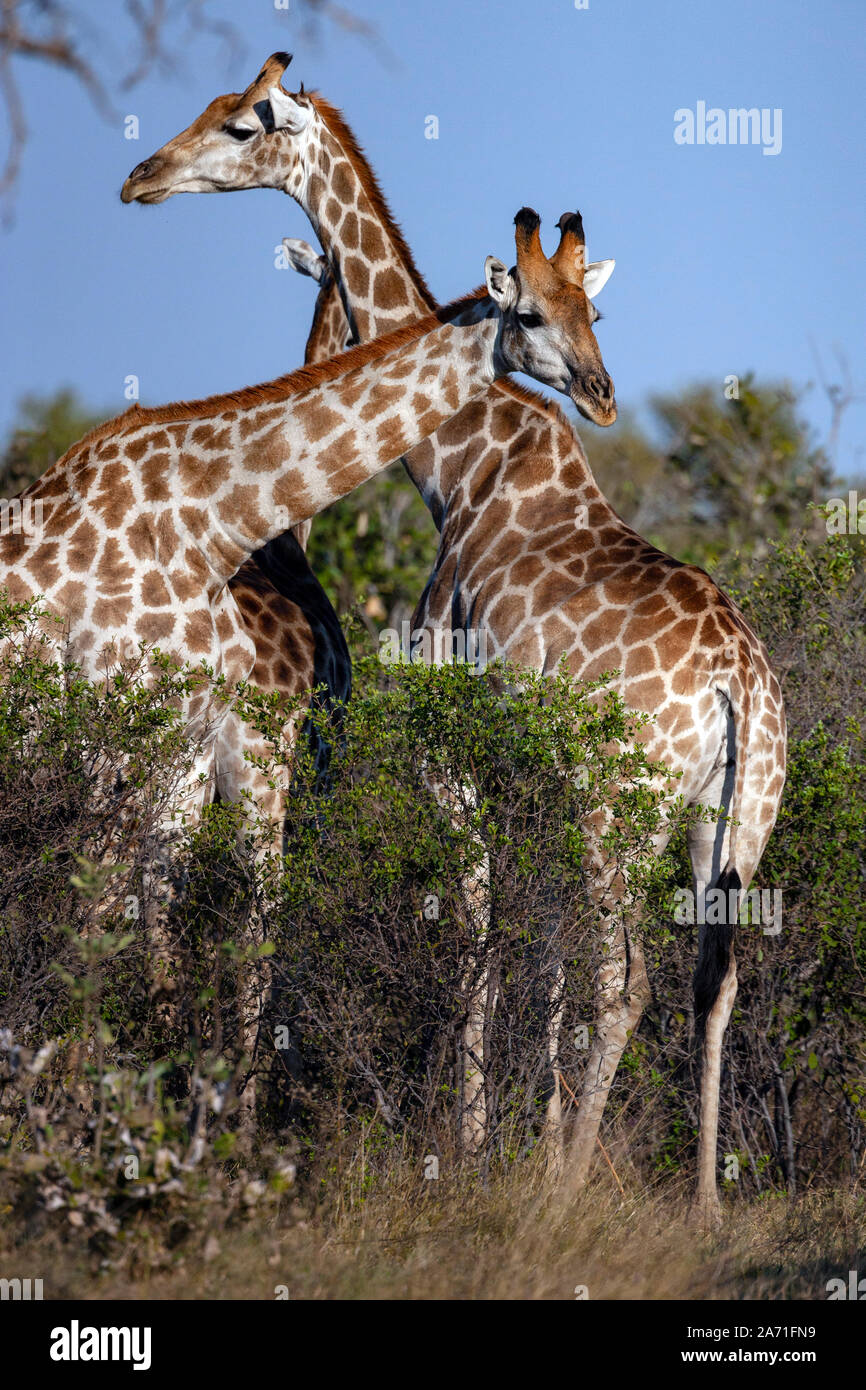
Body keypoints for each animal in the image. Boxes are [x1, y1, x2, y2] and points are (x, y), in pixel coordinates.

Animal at [125, 59, 789, 1223]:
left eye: (241, 122)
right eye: (553, 306)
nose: (143, 176)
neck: (452, 462)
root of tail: (739, 686)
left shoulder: (455, 744)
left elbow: (476, 918)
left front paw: (478, 1151)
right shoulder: (533, 763)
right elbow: (541, 942)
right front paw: (516, 1134)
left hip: (620, 797)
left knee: (633, 976)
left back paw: (568, 1189)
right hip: (733, 821)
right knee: (715, 978)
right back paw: (704, 1198)